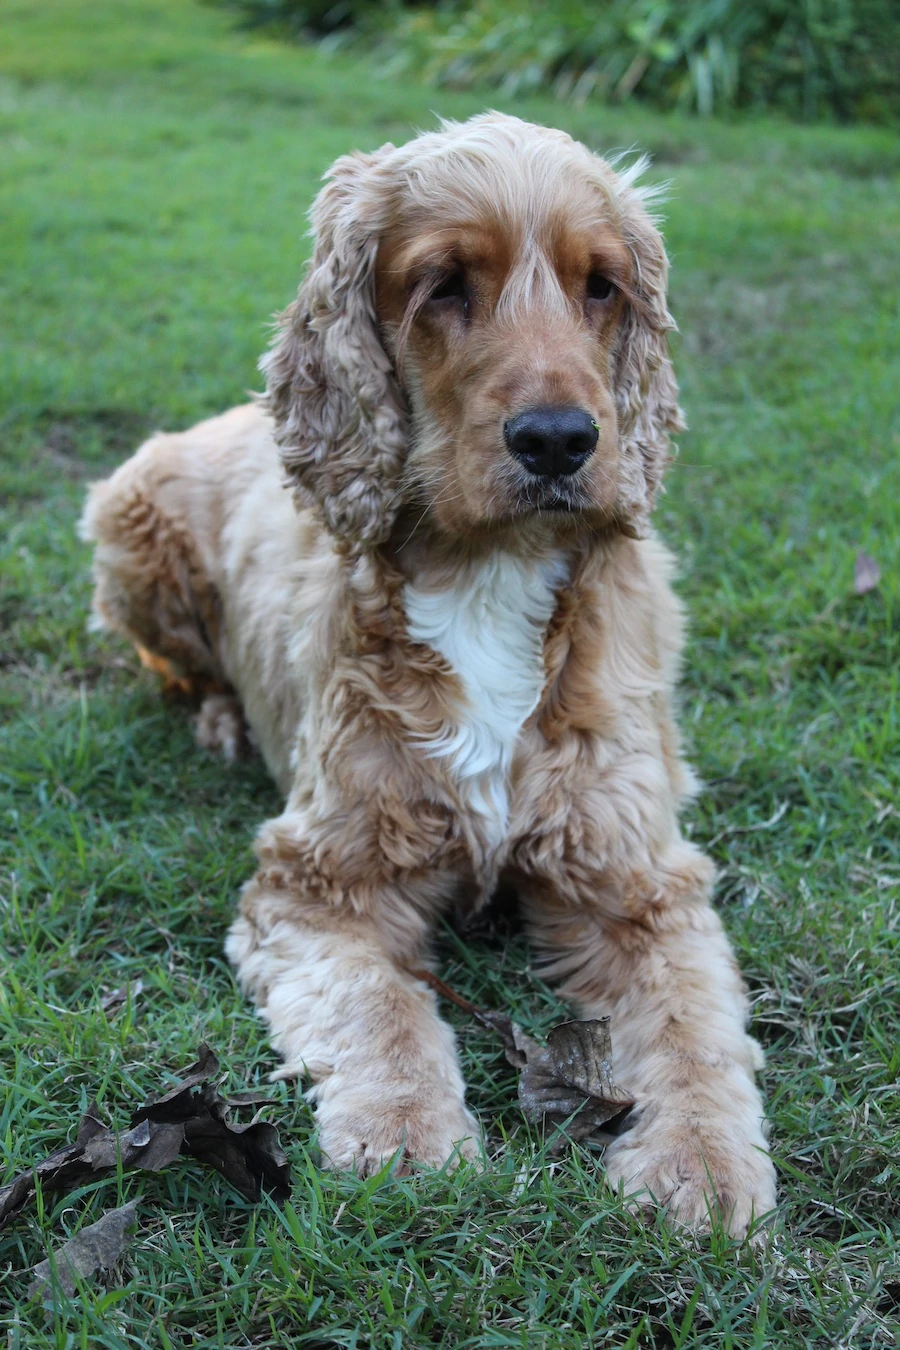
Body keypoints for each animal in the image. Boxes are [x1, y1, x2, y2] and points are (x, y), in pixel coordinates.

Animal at [80, 113, 777, 1236]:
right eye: (445, 283)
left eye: (602, 286)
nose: (558, 440)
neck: (488, 571)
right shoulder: (322, 876)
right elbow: (381, 1007)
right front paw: (406, 1139)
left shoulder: (636, 876)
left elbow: (691, 1025)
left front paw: (705, 1168)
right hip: (129, 527)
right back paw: (219, 720)